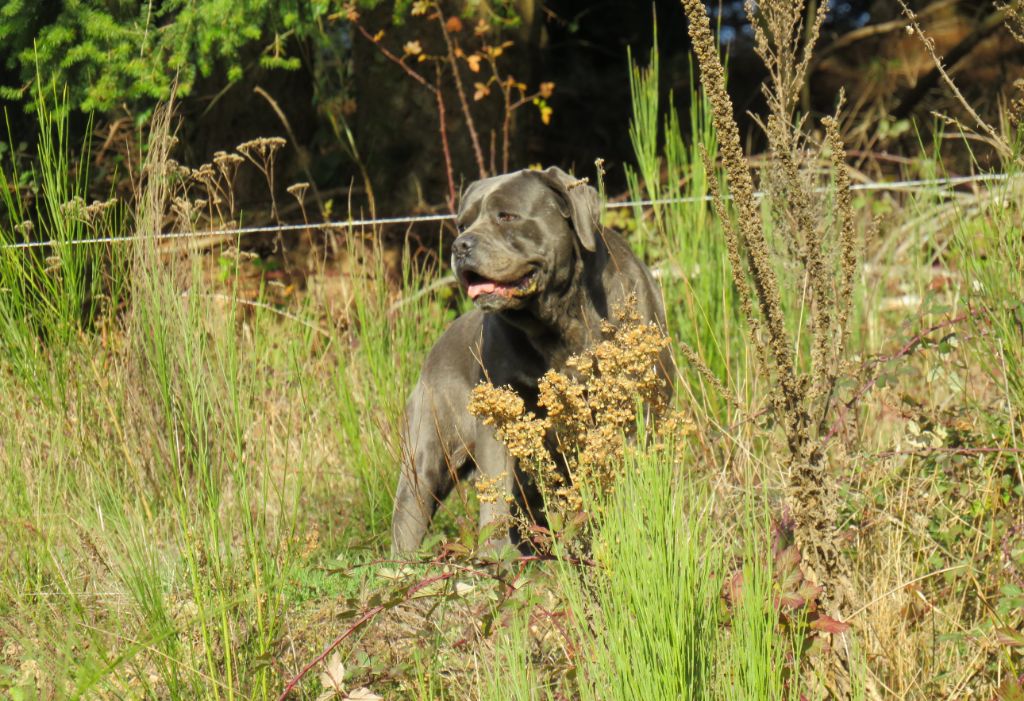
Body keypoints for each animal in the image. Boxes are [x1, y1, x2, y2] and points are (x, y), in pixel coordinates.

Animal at [391, 165, 671, 552]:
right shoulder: (501, 414)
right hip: (425, 457)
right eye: (462, 224)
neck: (559, 317)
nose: (460, 246)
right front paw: (496, 556)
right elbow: (495, 498)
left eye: (506, 216)